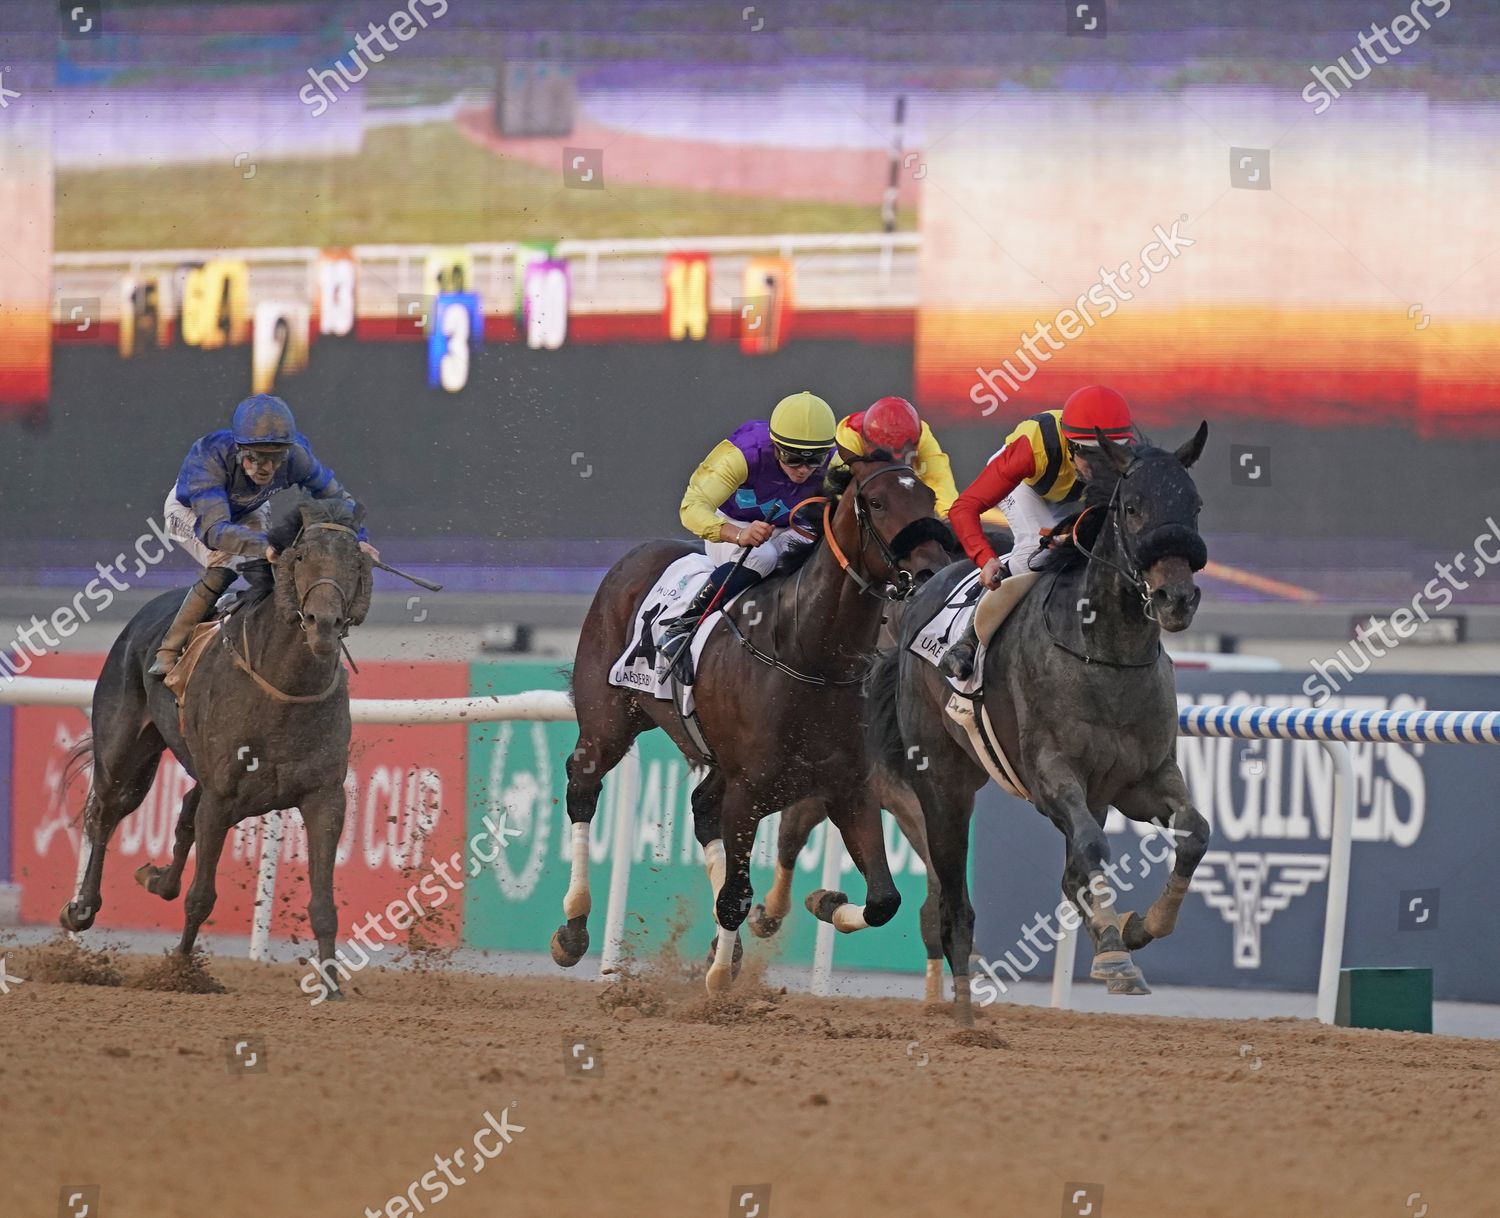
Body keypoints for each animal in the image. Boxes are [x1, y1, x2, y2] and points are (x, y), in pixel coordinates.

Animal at [61, 495, 372, 1002]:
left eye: (355, 561)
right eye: (301, 556)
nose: (323, 623)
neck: (284, 686)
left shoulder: (323, 796)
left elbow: (324, 903)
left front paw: (330, 986)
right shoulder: (224, 795)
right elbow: (201, 896)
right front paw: (180, 973)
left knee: (185, 810)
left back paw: (154, 878)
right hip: (125, 753)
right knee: (104, 815)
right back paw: (81, 908)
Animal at [564, 453, 948, 990]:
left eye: (929, 497)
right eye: (876, 502)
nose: (933, 568)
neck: (808, 654)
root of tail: (633, 558)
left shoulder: (848, 786)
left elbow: (883, 900)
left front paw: (825, 901)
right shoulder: (750, 791)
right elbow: (736, 896)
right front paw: (720, 980)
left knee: (703, 809)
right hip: (609, 721)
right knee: (583, 784)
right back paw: (573, 927)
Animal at [864, 423, 1212, 1020]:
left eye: (1194, 505)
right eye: (1133, 507)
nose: (1177, 598)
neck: (1105, 656)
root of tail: (918, 591)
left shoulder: (1142, 780)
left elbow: (1194, 832)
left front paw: (1140, 926)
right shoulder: (1050, 775)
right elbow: (1093, 848)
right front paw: (1116, 956)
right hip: (942, 782)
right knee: (952, 895)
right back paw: (962, 1006)